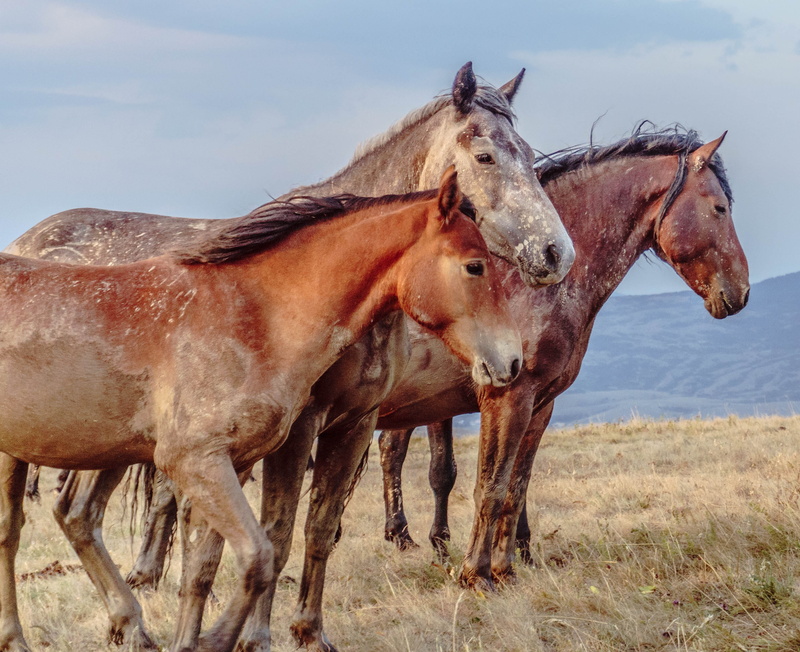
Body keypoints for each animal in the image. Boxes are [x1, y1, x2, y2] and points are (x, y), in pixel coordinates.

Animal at [9, 64, 569, 651]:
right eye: (485, 155)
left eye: (527, 152)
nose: (556, 253)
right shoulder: (299, 426)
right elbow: (275, 532)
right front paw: (255, 635)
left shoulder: (355, 422)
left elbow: (318, 527)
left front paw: (308, 630)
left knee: (77, 512)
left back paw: (130, 624)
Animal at [376, 125, 750, 588]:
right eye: (719, 207)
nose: (741, 291)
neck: (531, 283)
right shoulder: (506, 399)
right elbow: (489, 486)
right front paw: (475, 574)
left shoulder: (540, 404)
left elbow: (516, 487)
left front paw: (505, 569)